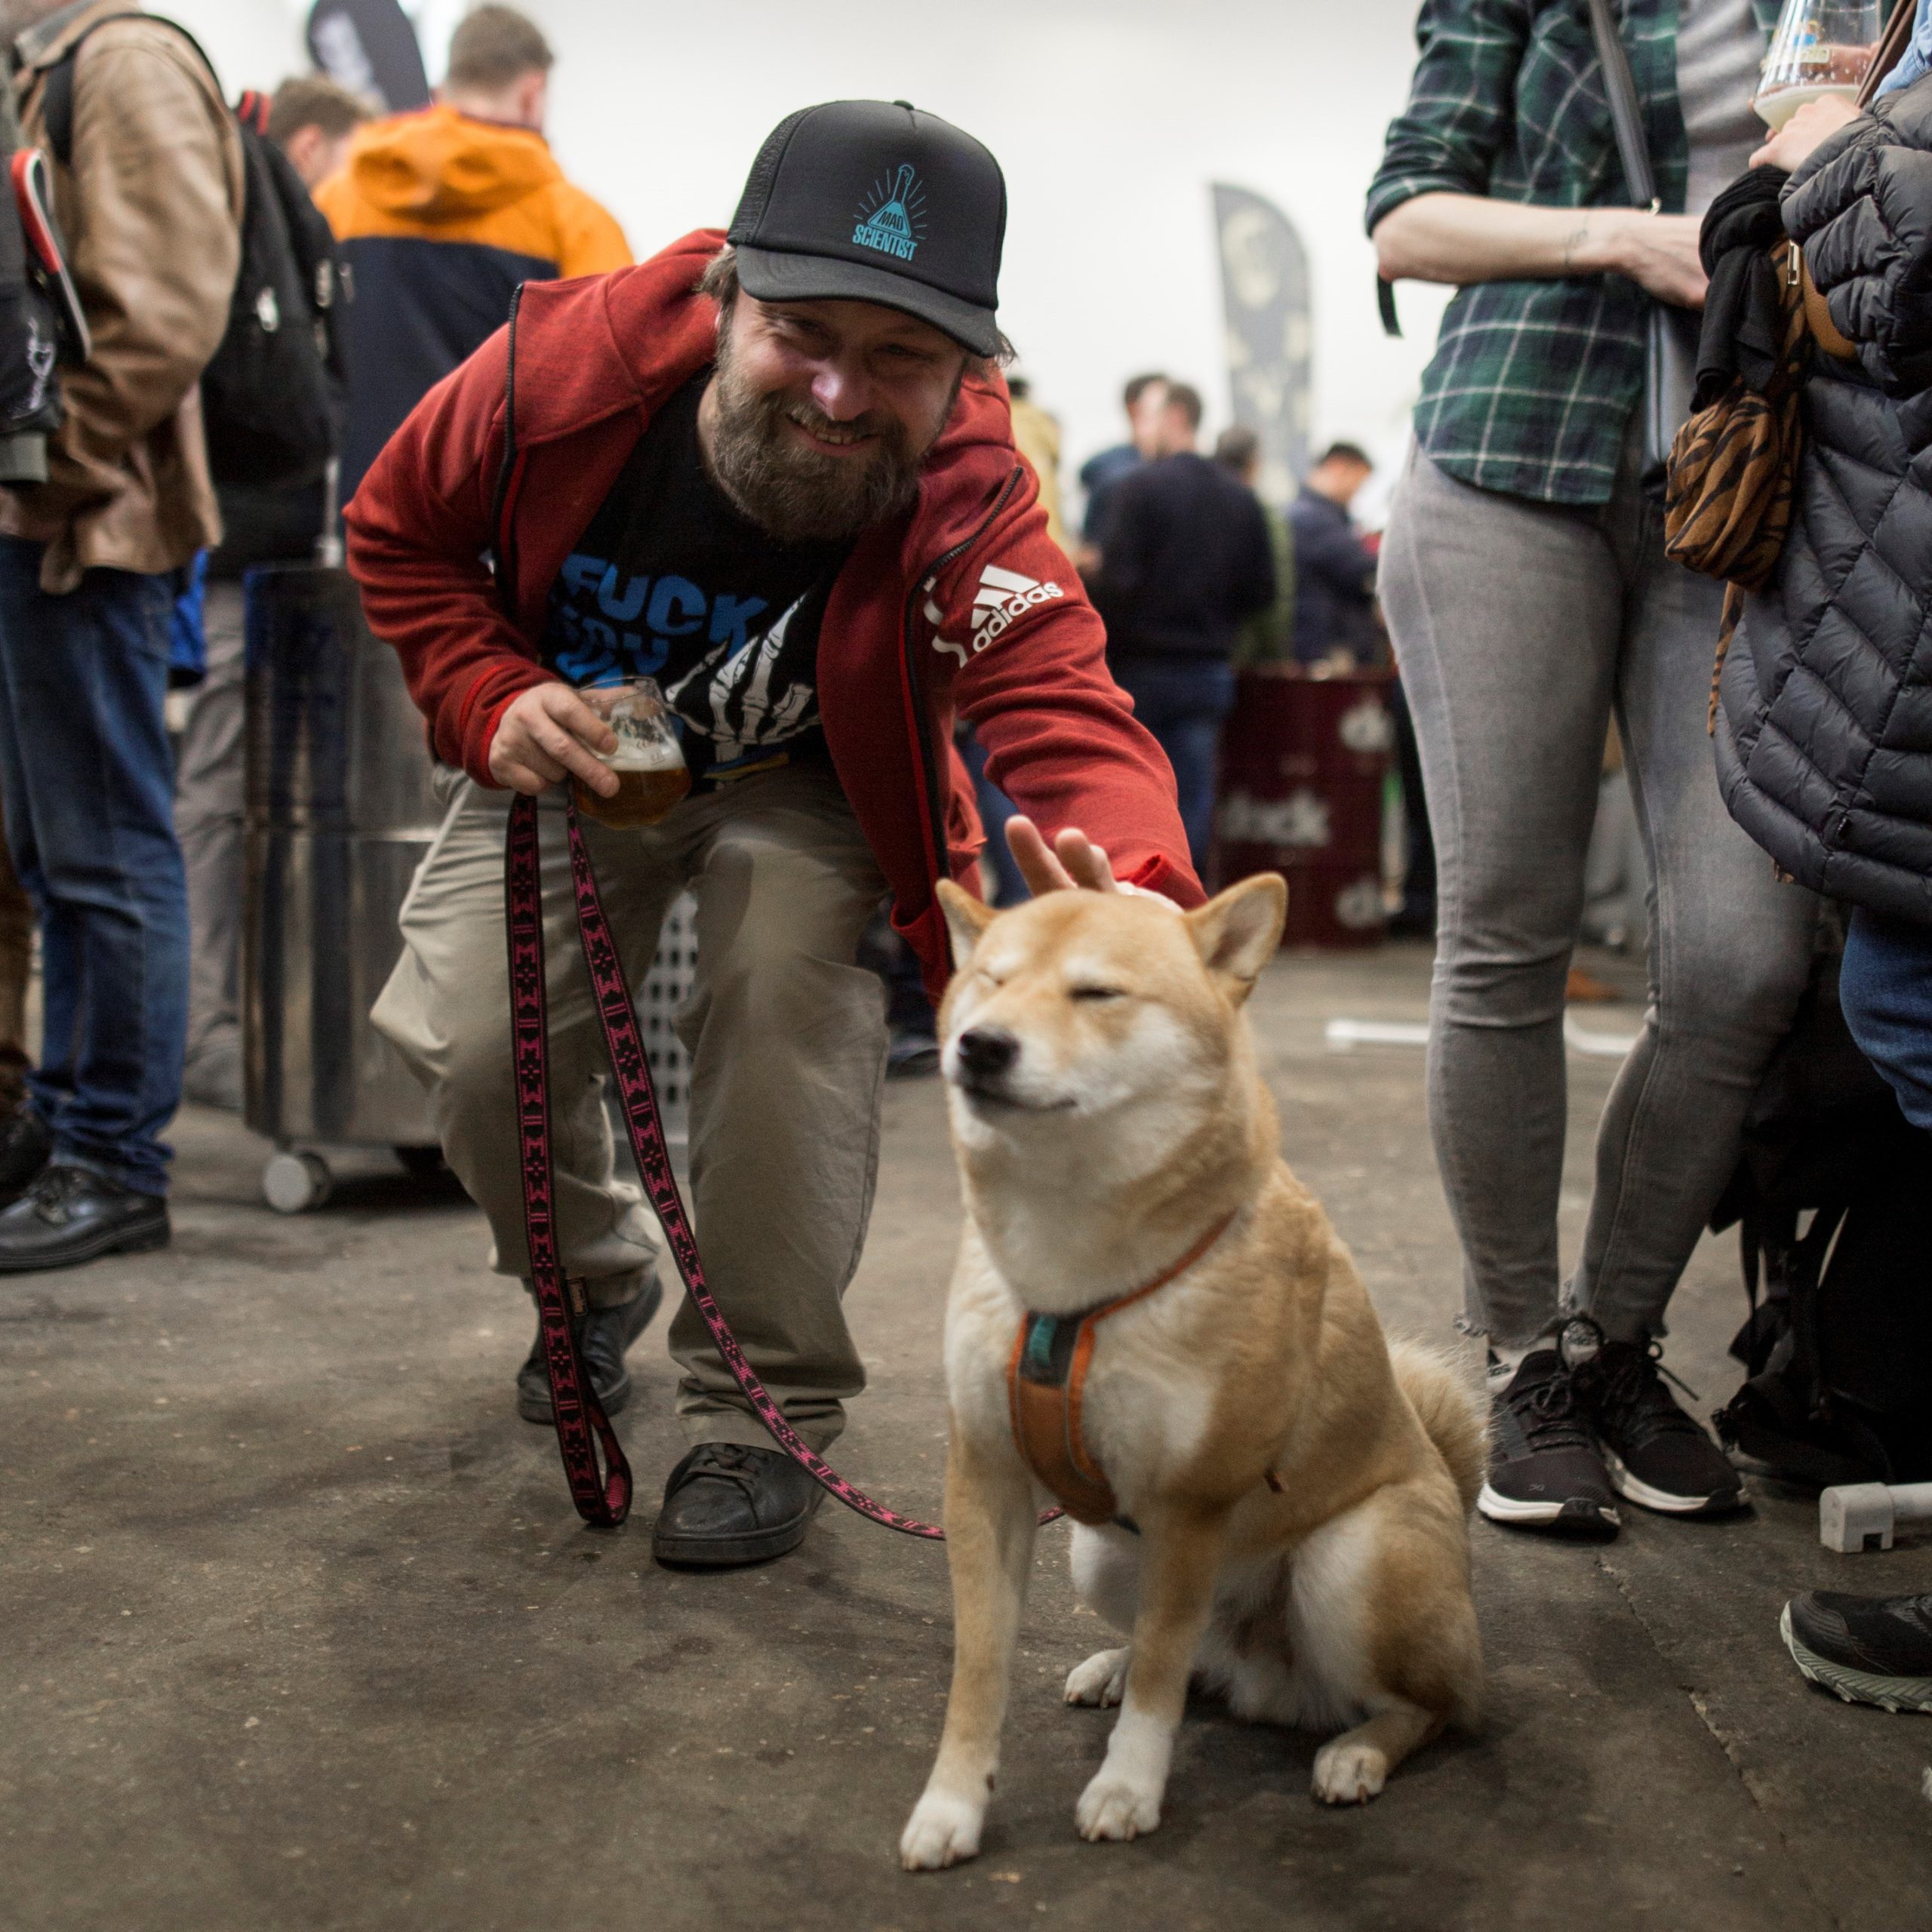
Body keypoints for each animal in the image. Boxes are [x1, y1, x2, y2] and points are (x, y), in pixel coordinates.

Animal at [896, 877, 1484, 1870]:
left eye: (1095, 992)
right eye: (990, 981)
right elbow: (979, 1670)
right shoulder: (985, 1478)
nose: (978, 1044)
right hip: (1098, 1550)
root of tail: (1273, 1679)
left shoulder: (1191, 1502)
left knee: (1427, 1704)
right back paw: (1117, 1664)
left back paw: (1357, 1752)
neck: (1070, 1271)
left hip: (1346, 1562)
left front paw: (1127, 1789)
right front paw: (950, 1804)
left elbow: (1163, 1685)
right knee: (1193, 1657)